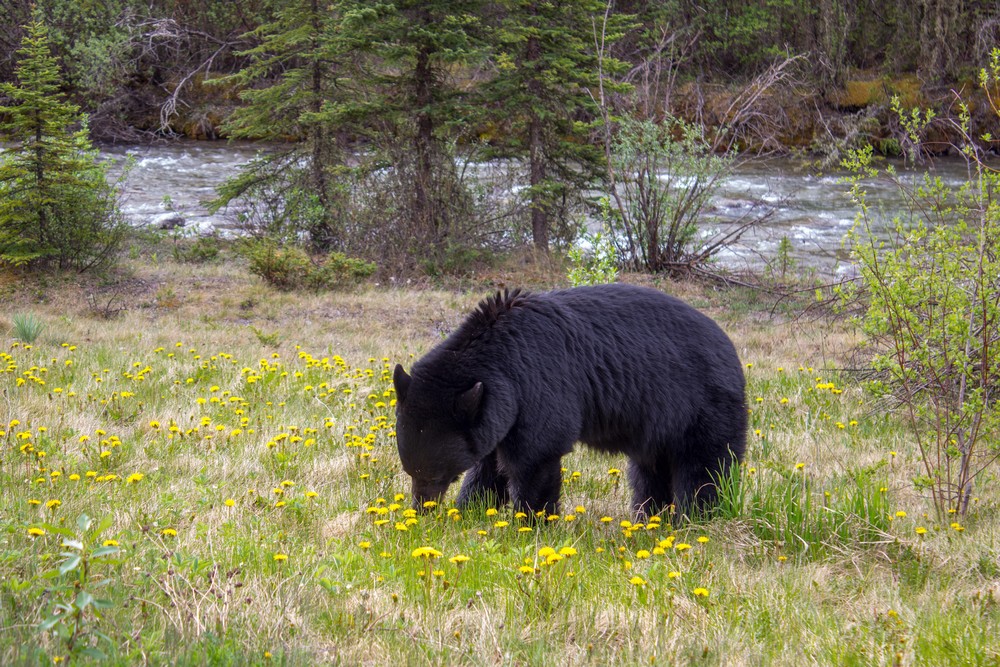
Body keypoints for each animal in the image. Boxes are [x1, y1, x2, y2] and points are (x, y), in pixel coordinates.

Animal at [390, 282, 744, 516]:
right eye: (409, 470)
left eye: (434, 473)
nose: (422, 507)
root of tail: (730, 347)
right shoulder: (497, 413)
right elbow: (488, 466)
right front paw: (470, 511)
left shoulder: (539, 385)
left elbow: (536, 457)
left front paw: (531, 521)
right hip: (659, 426)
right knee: (649, 470)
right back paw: (648, 517)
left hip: (702, 406)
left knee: (705, 468)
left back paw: (696, 517)